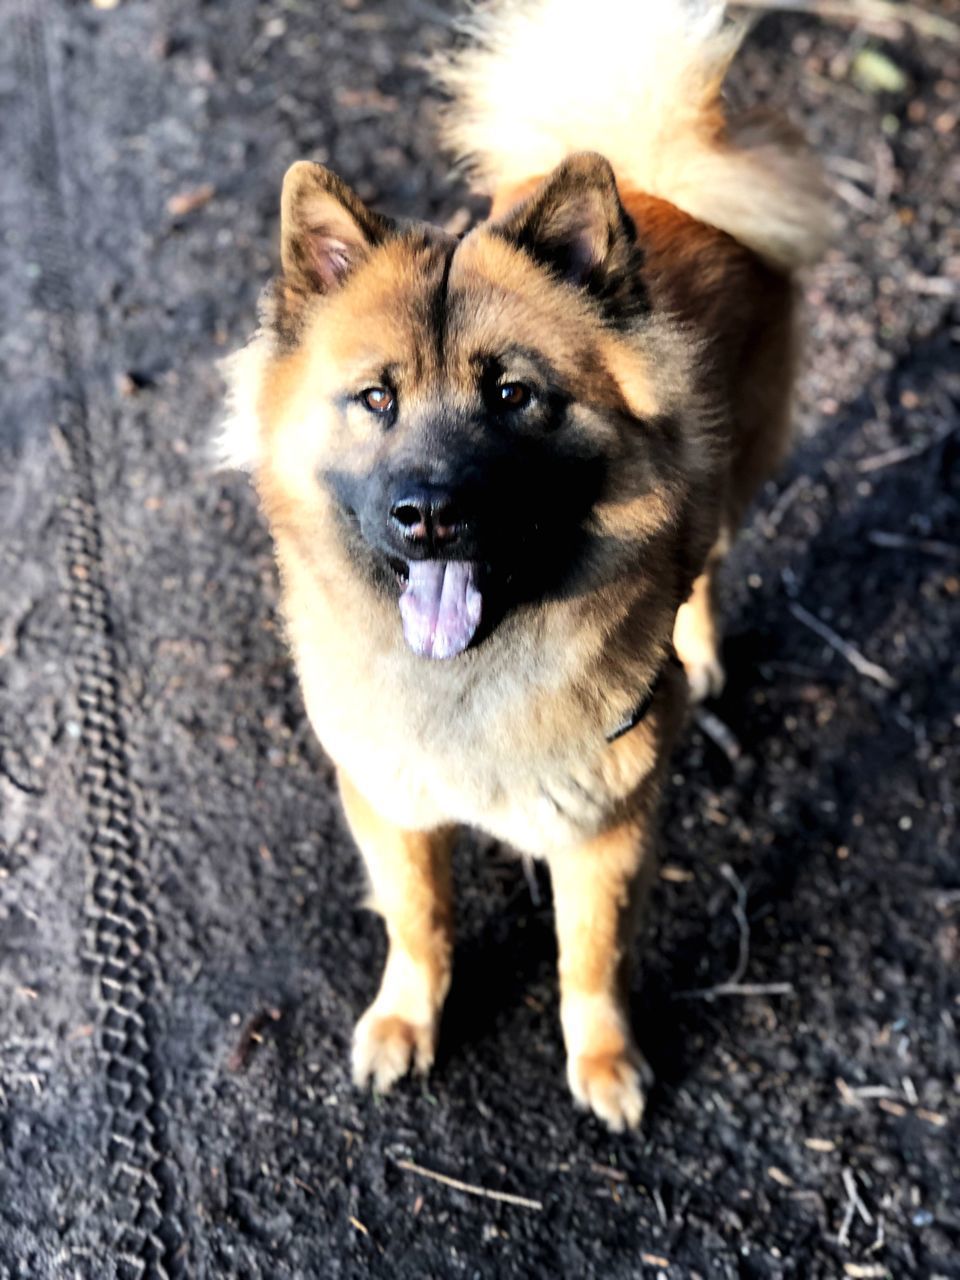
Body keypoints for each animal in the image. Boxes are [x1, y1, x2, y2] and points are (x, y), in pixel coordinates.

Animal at [220, 0, 834, 1131]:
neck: (471, 676)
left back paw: (701, 655)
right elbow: (418, 921)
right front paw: (407, 1019)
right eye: (377, 398)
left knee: (710, 567)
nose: (429, 514)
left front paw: (604, 1059)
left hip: (733, 481)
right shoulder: (392, 800)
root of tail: (659, 182)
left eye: (512, 395)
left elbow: (587, 959)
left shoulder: (605, 829)